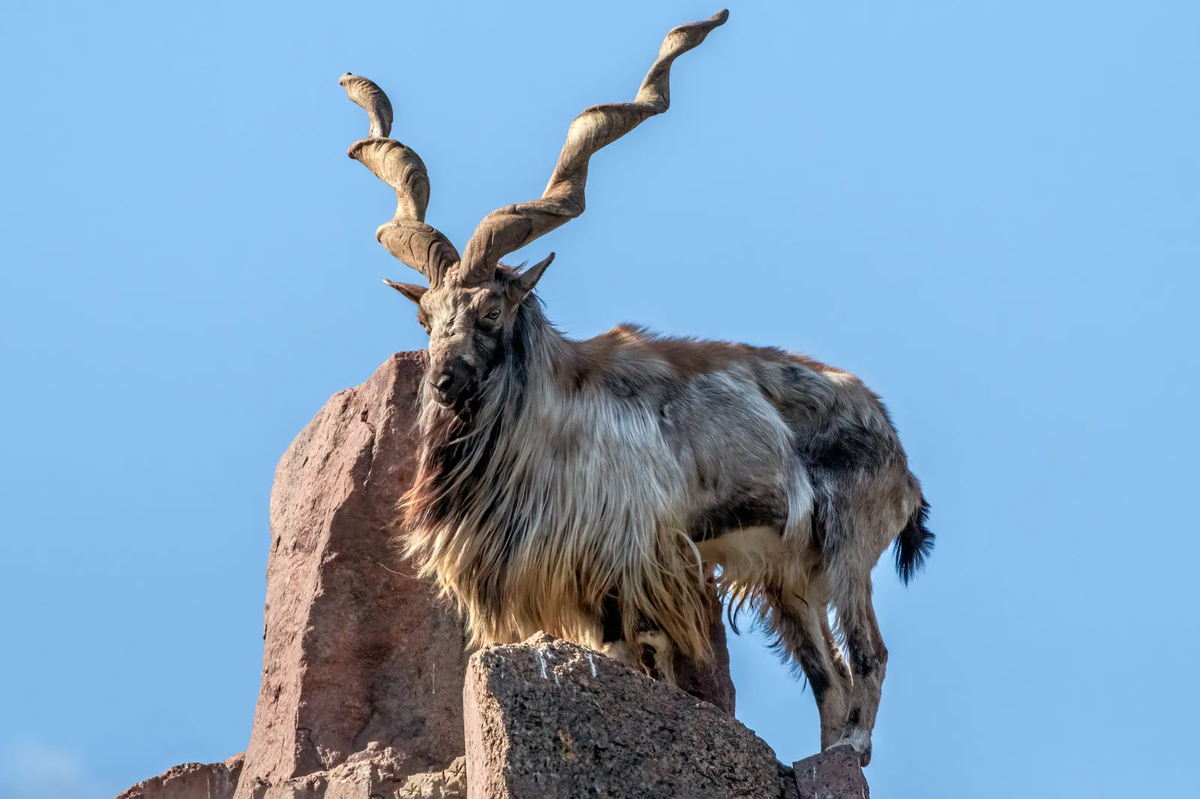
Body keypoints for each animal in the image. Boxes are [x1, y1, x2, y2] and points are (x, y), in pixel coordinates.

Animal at [338, 9, 926, 763]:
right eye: (425, 316)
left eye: (492, 310)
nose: (443, 382)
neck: (550, 419)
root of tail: (899, 455)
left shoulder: (628, 566)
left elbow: (634, 655)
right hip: (788, 579)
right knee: (829, 678)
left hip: (847, 550)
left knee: (869, 657)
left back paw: (849, 751)